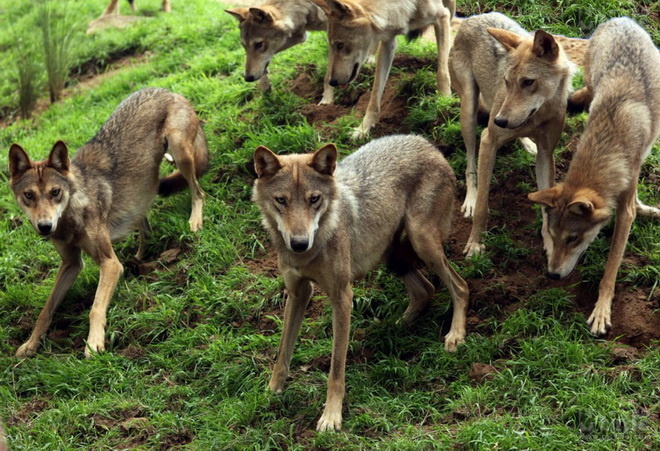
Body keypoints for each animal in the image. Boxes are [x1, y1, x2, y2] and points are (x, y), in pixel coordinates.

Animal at [7, 88, 208, 358]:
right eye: (29, 195)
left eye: (55, 192)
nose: (45, 227)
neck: (71, 215)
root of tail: (167, 91)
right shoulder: (71, 264)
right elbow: (45, 310)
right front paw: (30, 344)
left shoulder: (110, 264)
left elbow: (95, 308)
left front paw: (93, 343)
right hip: (141, 191)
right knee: (146, 228)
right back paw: (139, 258)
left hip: (180, 153)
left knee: (198, 192)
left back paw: (195, 221)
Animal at [253, 133, 470, 430]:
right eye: (281, 200)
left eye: (314, 199)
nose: (299, 243)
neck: (311, 249)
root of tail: (425, 142)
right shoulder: (298, 292)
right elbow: (282, 351)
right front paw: (270, 392)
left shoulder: (342, 297)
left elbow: (336, 366)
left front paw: (331, 417)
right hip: (392, 255)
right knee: (426, 290)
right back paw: (392, 329)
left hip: (422, 242)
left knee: (460, 286)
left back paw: (455, 335)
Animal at [310, 0, 454, 140]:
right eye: (335, 46)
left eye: (340, 45)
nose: (332, 81)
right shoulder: (387, 42)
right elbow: (374, 96)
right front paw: (362, 129)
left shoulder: (442, 16)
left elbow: (442, 72)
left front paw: (444, 103)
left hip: (450, 8)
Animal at [452, 12, 576, 258]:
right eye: (507, 82)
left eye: (528, 82)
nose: (500, 121)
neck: (537, 116)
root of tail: (474, 16)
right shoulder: (488, 140)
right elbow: (483, 206)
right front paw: (476, 243)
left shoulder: (546, 154)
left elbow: (546, 205)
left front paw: (549, 244)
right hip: (469, 111)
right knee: (470, 162)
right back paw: (469, 199)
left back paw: (527, 144)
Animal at [524, 16, 660, 336]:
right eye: (553, 236)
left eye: (573, 239)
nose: (553, 275)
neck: (609, 144)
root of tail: (621, 19)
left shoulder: (624, 209)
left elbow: (610, 269)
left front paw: (601, 312)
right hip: (590, 76)